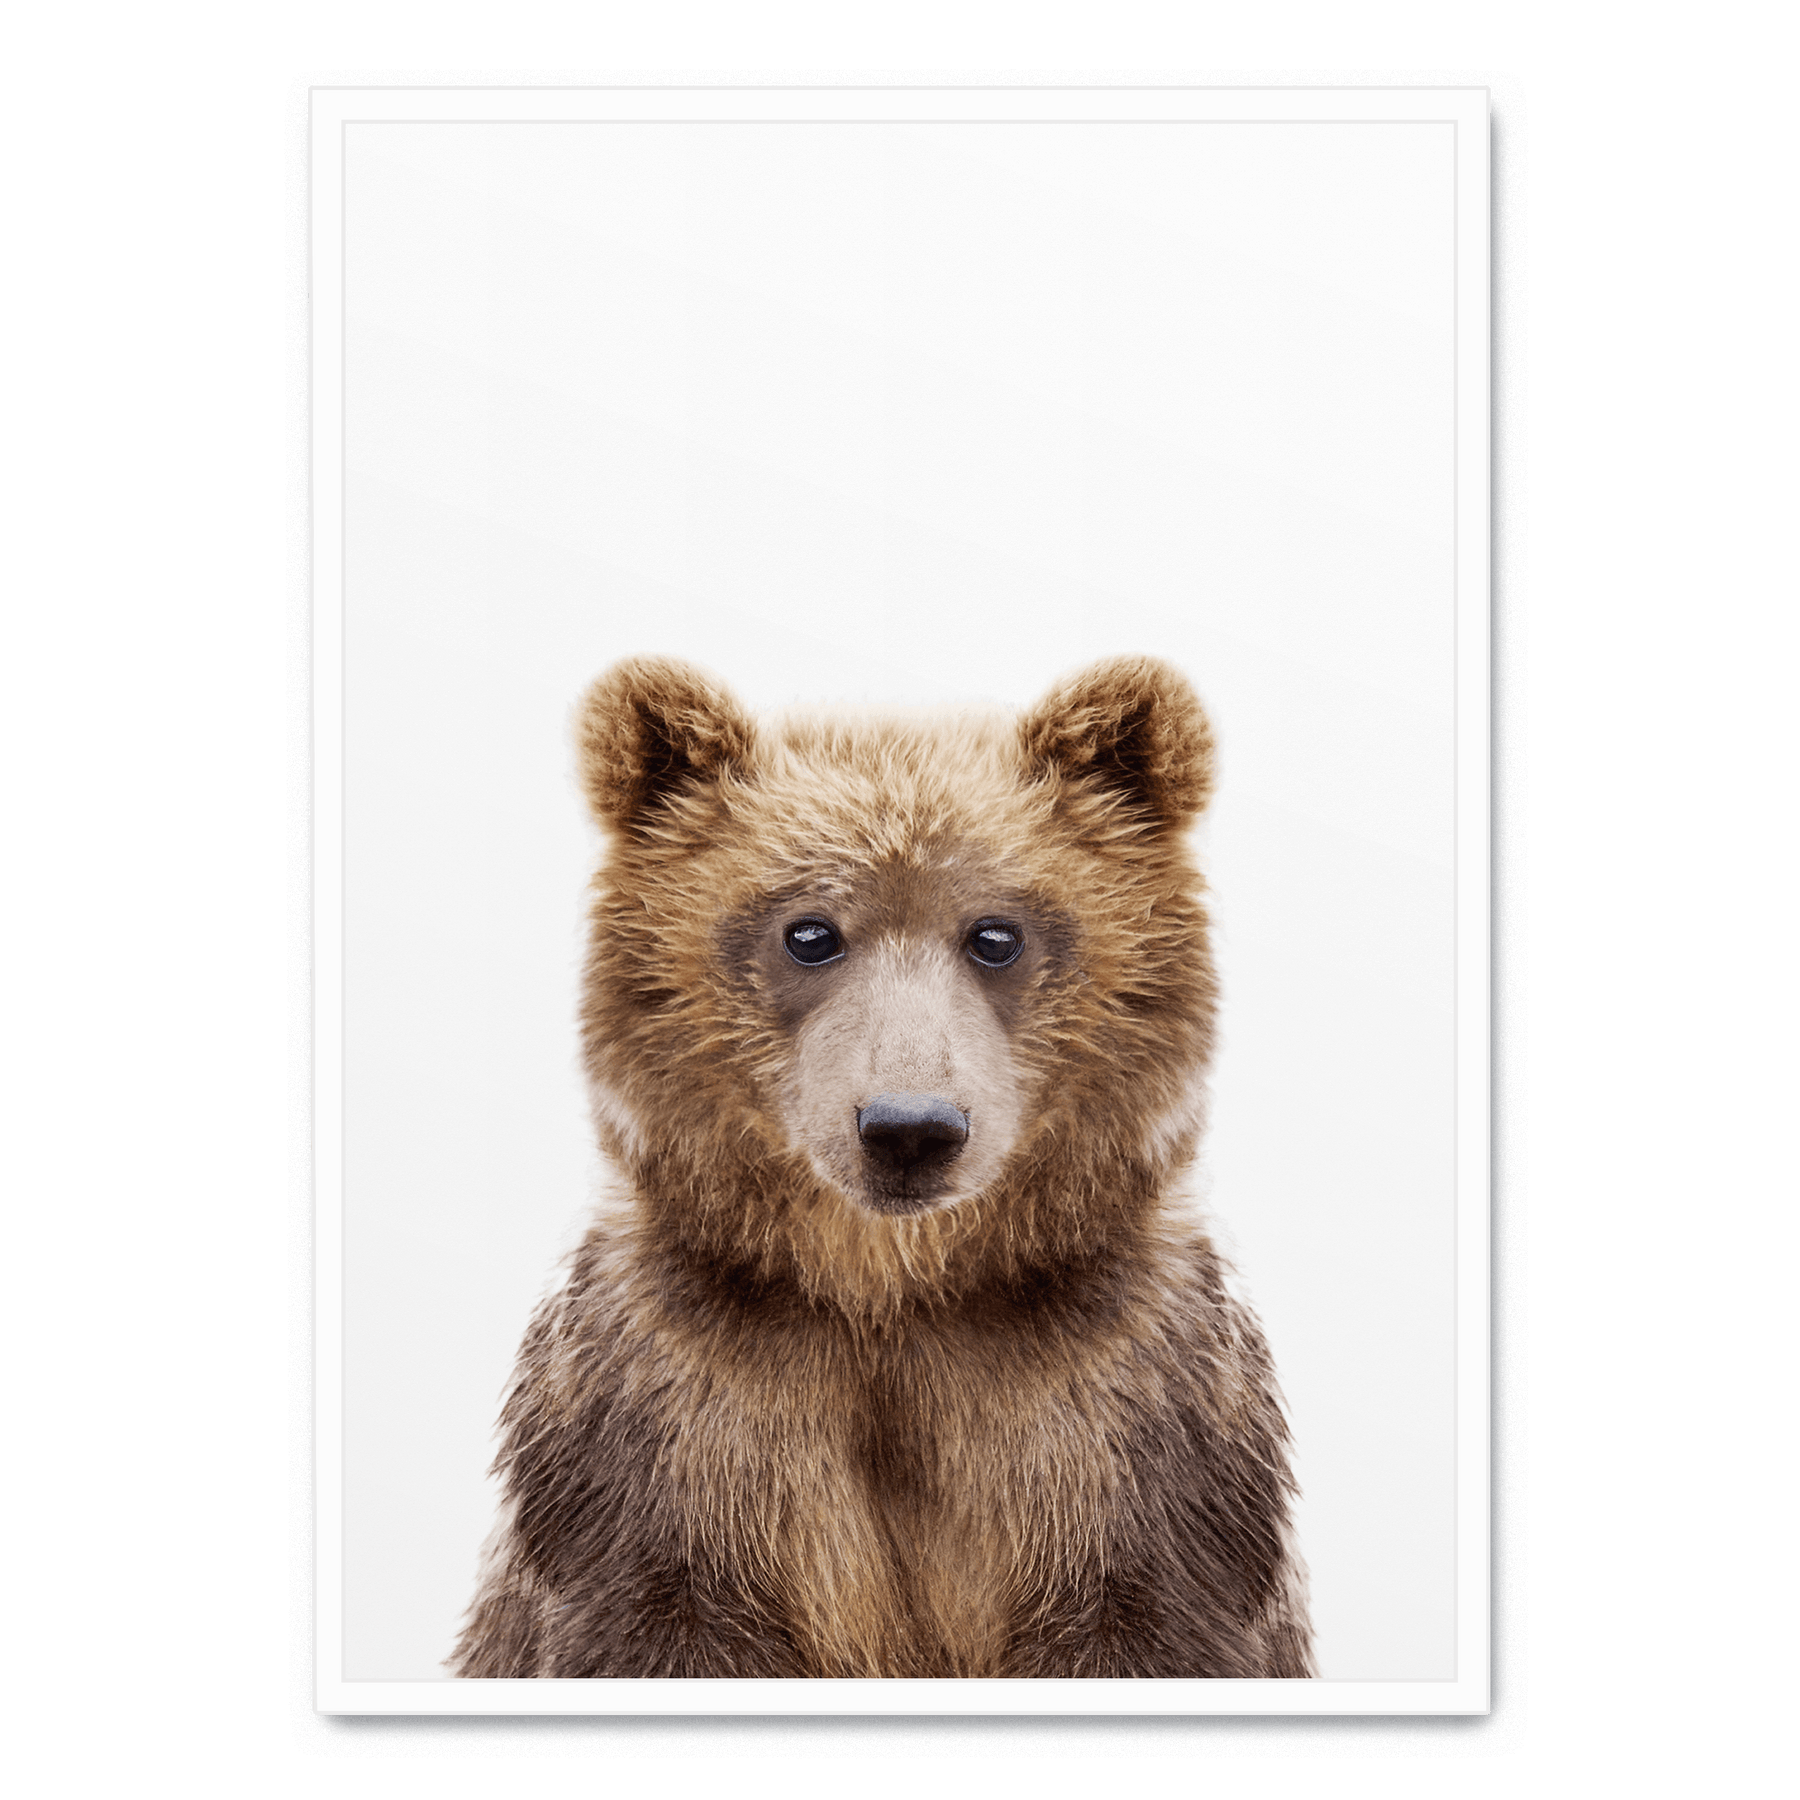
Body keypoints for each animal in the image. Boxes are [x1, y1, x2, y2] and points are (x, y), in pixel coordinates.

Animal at [450, 655, 1314, 1680]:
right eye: (810, 931)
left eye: (995, 933)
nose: (909, 1128)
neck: (893, 1294)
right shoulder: (671, 1419)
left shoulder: (1123, 1419)